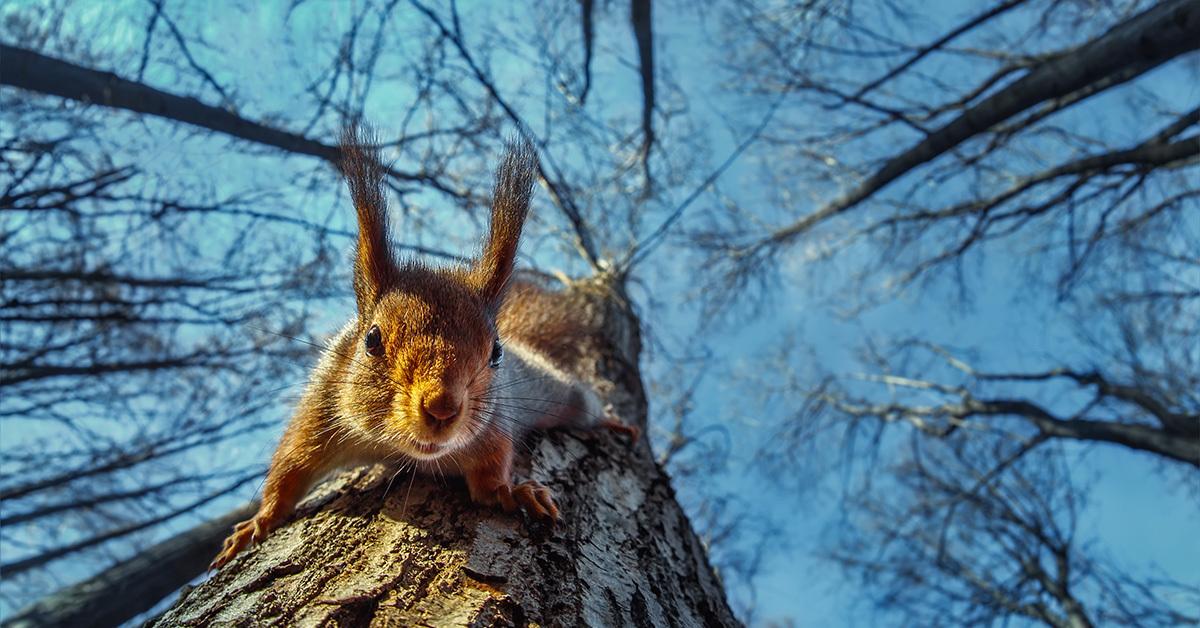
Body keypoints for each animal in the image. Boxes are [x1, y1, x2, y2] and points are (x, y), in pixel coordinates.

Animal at [208, 126, 638, 569]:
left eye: (495, 353)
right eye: (371, 339)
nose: (442, 409)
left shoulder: (491, 428)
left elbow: (491, 478)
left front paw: (515, 491)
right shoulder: (324, 406)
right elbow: (291, 465)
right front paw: (257, 522)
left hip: (560, 393)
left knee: (584, 405)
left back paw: (613, 423)